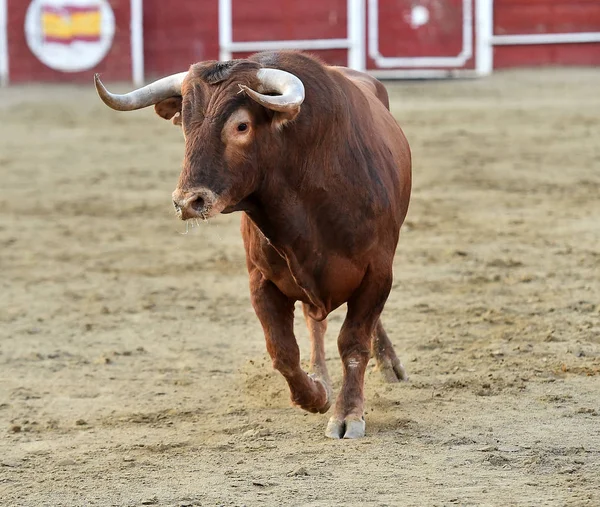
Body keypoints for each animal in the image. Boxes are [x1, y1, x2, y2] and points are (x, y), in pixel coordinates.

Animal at [94, 52, 412, 440]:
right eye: (185, 124)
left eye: (241, 126)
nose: (188, 201)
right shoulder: (262, 281)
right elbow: (282, 352)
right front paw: (316, 394)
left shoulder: (376, 274)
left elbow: (353, 342)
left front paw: (348, 413)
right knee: (315, 322)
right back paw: (321, 374)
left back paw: (391, 366)